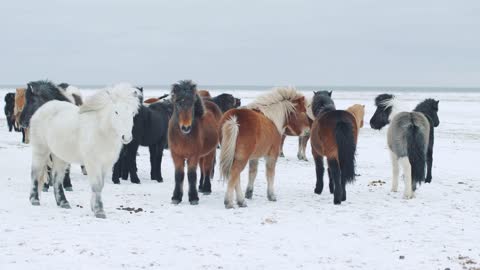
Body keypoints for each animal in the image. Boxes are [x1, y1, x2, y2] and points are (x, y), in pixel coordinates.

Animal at [28, 84, 141, 217]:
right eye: (116, 112)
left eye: (132, 113)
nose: (126, 137)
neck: (101, 130)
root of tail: (42, 108)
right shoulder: (92, 163)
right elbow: (96, 185)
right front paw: (99, 210)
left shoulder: (106, 164)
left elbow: (101, 186)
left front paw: (94, 207)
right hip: (41, 150)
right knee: (35, 173)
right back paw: (34, 200)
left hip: (60, 156)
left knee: (57, 178)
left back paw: (63, 202)